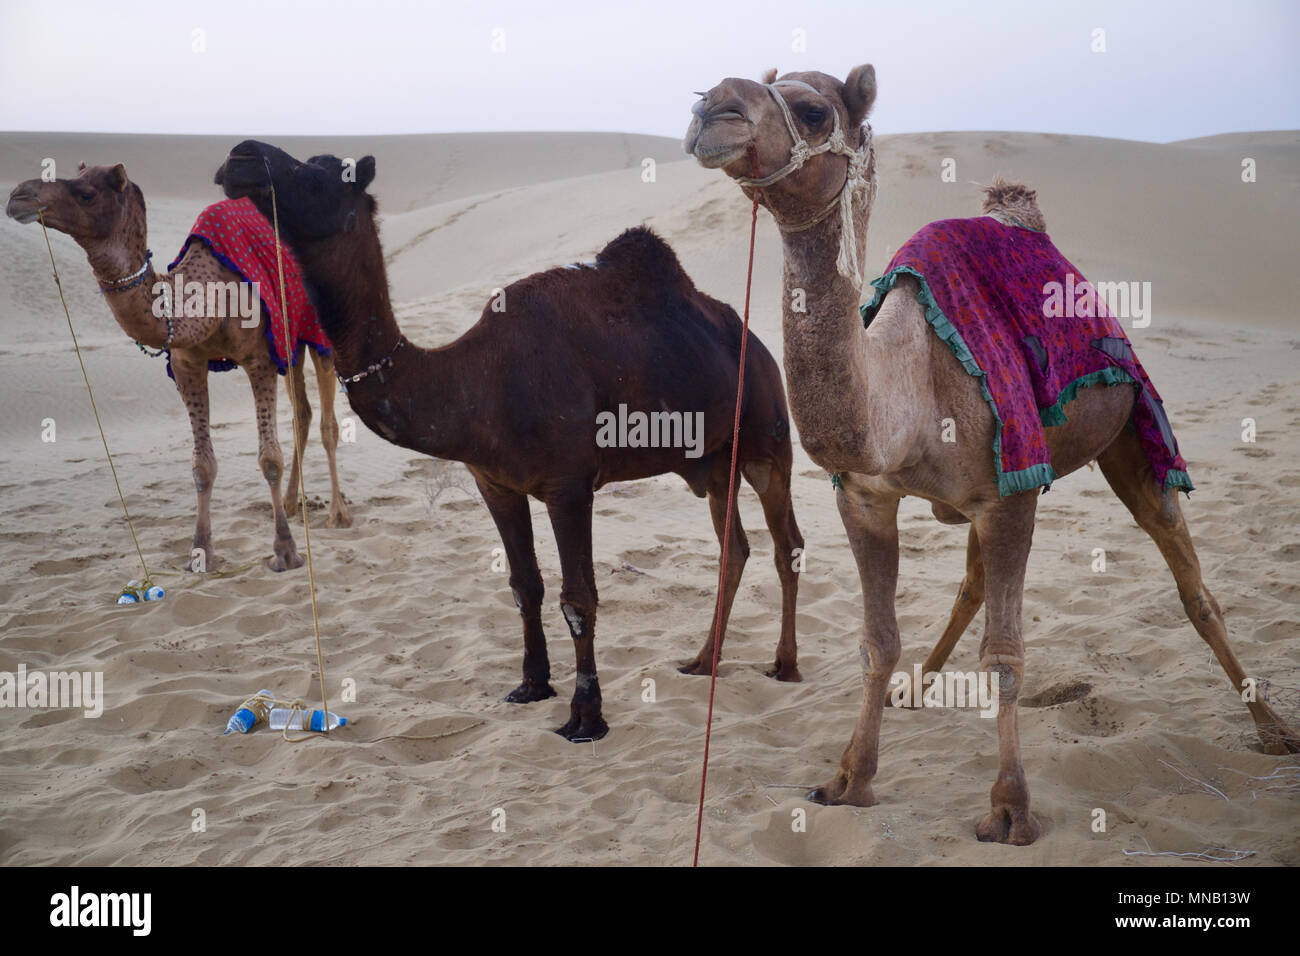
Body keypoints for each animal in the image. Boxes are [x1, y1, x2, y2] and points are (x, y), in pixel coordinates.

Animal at [5, 162, 351, 574]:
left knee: (328, 423)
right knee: (303, 412)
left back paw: (337, 513)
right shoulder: (189, 363)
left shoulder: (259, 358)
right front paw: (200, 554)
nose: (17, 196)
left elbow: (269, 458)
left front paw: (285, 551)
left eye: (86, 194)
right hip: (291, 341)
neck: (208, 297)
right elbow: (202, 465)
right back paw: (289, 504)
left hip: (316, 331)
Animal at [213, 140, 800, 738]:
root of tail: (753, 341)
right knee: (735, 547)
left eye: (319, 177)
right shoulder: (494, 483)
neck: (475, 380)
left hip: (767, 437)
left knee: (787, 545)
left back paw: (784, 665)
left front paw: (586, 717)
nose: (240, 156)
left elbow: (578, 597)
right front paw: (532, 686)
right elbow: (525, 586)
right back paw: (704, 661)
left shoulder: (569, 486)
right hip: (715, 460)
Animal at [686, 65, 1294, 842]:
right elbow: (876, 640)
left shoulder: (1009, 498)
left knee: (1195, 590)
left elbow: (1005, 655)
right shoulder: (869, 497)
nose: (714, 106)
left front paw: (1009, 809)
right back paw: (915, 688)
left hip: (1130, 435)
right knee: (971, 584)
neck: (905, 393)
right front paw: (849, 778)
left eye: (813, 110)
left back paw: (1272, 728)